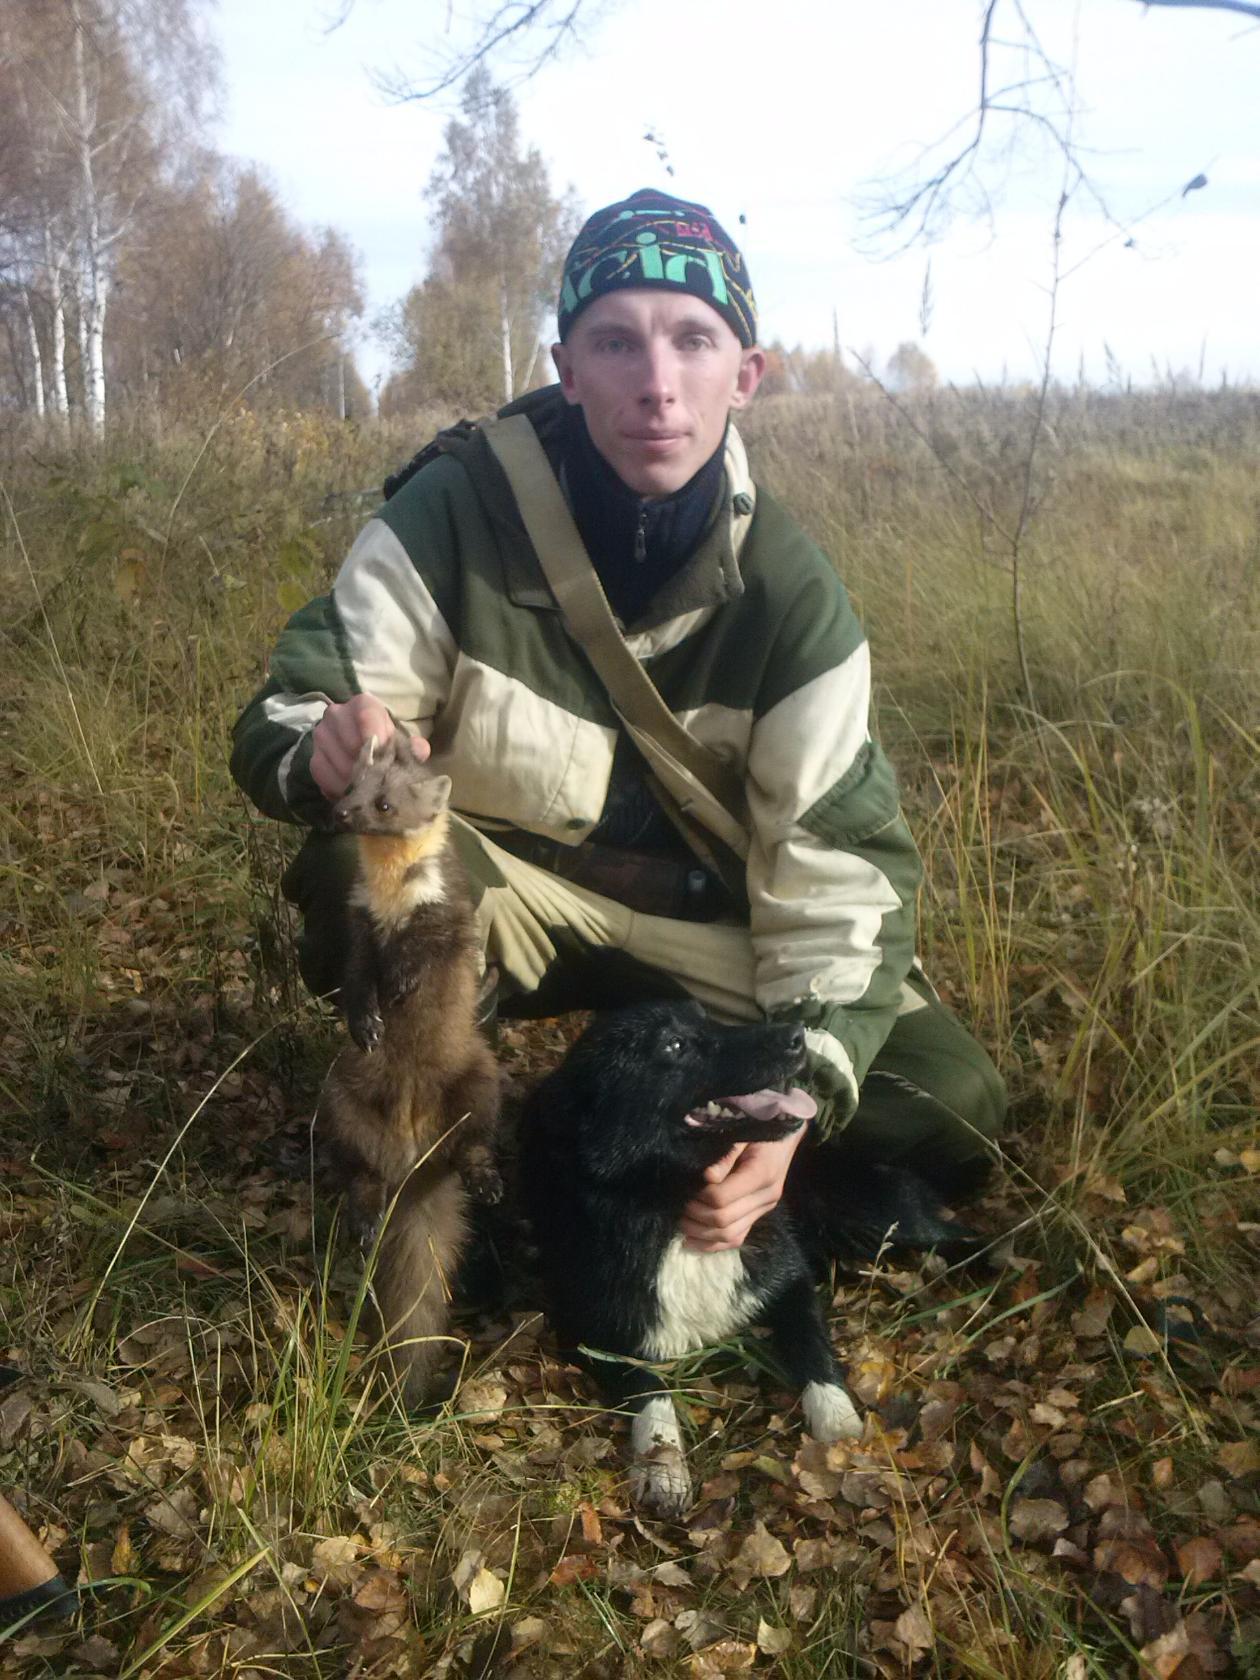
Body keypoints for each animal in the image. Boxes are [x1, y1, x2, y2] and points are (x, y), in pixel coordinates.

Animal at [518, 998, 977, 1517]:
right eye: (673, 1045)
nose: (798, 1036)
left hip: (879, 1219)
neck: (674, 1205)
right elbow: (648, 1388)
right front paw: (663, 1464)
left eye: (705, 1016)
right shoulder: (589, 1329)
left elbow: (813, 1349)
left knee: (969, 1237)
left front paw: (839, 1429)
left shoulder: (789, 1279)